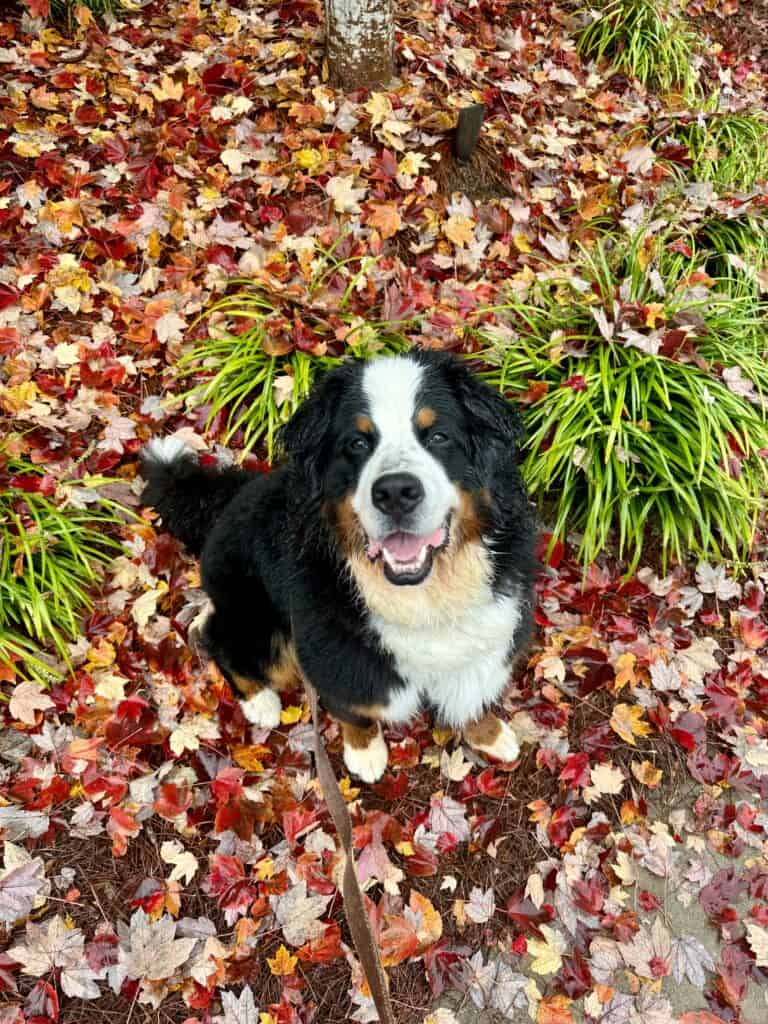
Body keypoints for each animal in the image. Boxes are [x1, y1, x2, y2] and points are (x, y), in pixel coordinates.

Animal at [140, 348, 536, 778]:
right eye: (357, 443)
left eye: (438, 436)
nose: (395, 492)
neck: (424, 597)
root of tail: (232, 498)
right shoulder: (332, 656)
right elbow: (355, 710)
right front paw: (364, 753)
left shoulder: (491, 636)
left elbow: (471, 696)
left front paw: (489, 734)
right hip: (263, 625)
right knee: (215, 636)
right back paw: (260, 702)